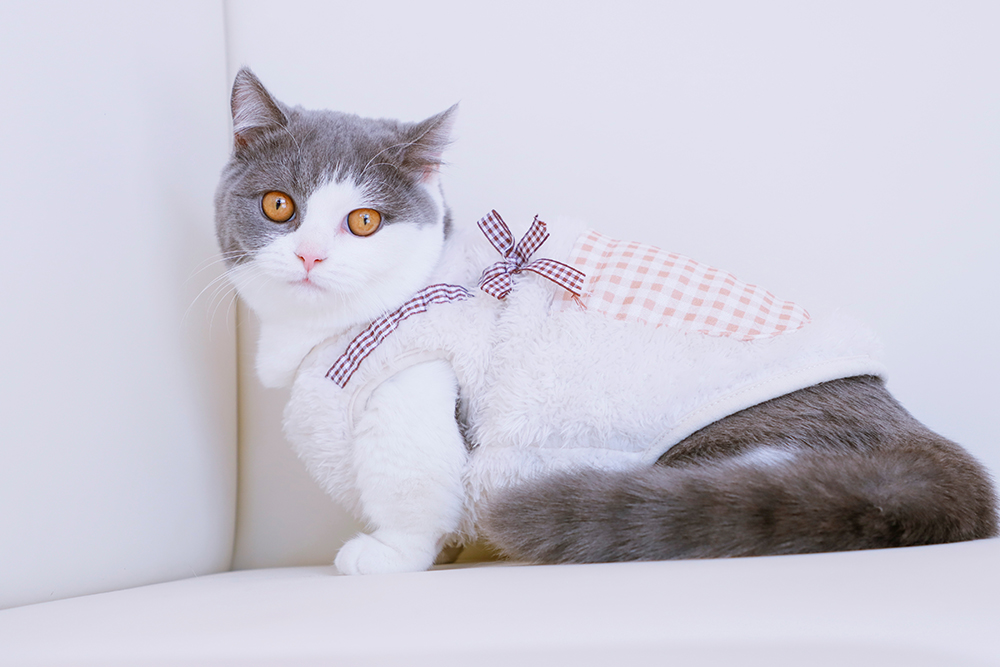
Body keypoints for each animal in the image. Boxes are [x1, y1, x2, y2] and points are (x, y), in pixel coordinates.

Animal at [215, 70, 996, 576]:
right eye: (280, 206)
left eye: (364, 221)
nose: (311, 254)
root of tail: (928, 446)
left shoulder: (414, 381)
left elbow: (412, 482)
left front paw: (387, 552)